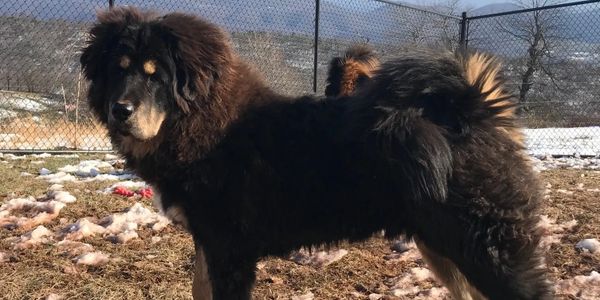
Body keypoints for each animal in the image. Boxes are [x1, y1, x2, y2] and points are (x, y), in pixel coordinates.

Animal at [81, 7, 552, 300]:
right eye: (118, 70)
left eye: (155, 75)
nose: (120, 110)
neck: (204, 123)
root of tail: (473, 109)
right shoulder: (208, 243)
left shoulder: (230, 248)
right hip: (446, 249)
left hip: (486, 251)